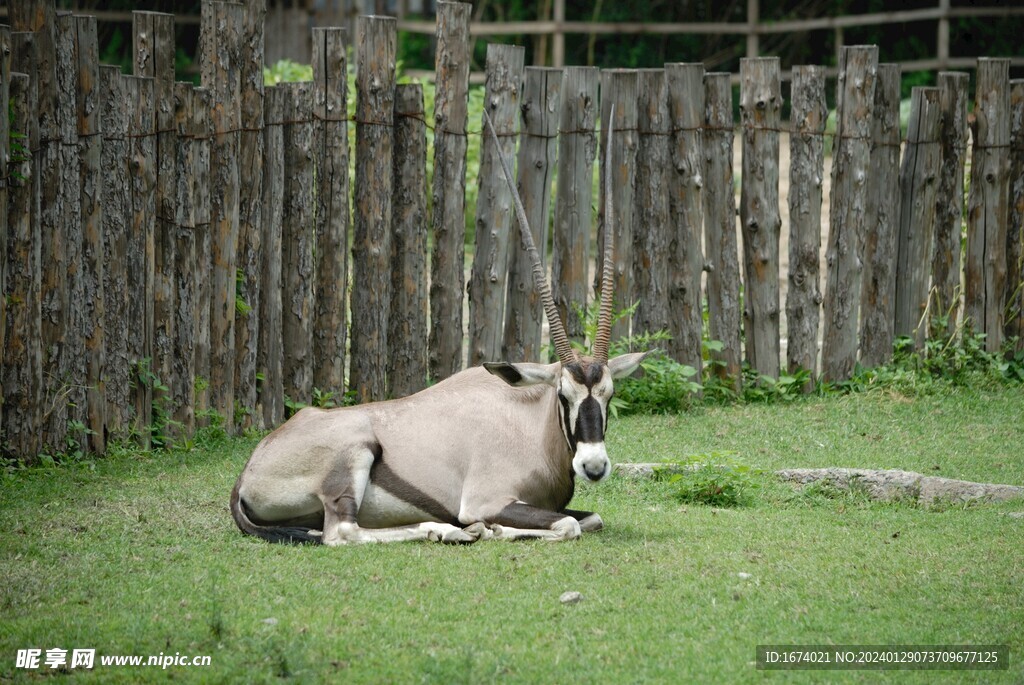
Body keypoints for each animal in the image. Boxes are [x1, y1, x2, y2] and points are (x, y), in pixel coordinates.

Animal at [230, 109, 647, 540]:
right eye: (564, 395)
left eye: (609, 394)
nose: (594, 467)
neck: (527, 420)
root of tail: (248, 471)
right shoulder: (486, 499)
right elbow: (568, 524)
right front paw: (491, 529)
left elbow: (591, 518)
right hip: (354, 457)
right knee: (344, 531)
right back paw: (448, 530)